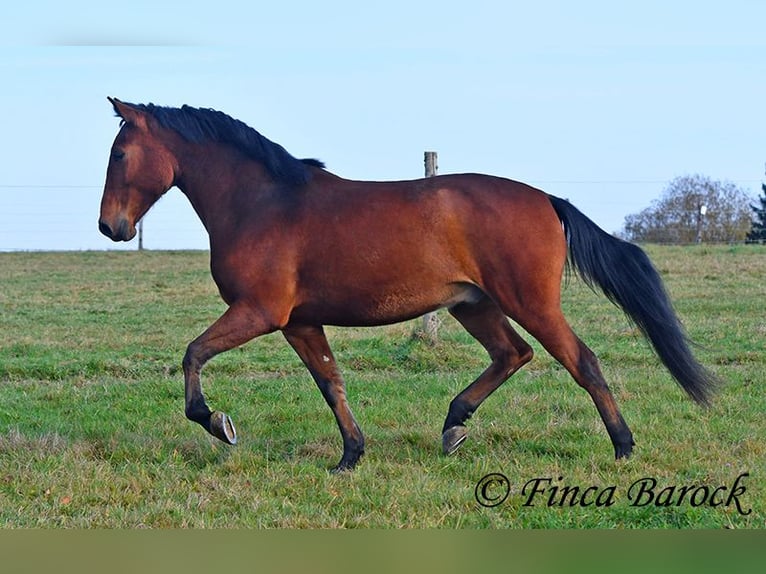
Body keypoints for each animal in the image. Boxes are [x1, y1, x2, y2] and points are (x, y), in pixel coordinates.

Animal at [97, 99, 720, 472]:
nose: (111, 227)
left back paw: (623, 446)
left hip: (529, 301)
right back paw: (453, 426)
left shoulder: (261, 312)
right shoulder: (300, 322)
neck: (263, 203)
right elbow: (331, 383)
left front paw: (218, 424)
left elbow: (192, 354)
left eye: (120, 152)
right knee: (513, 355)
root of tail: (547, 199)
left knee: (579, 360)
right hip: (475, 305)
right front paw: (350, 456)